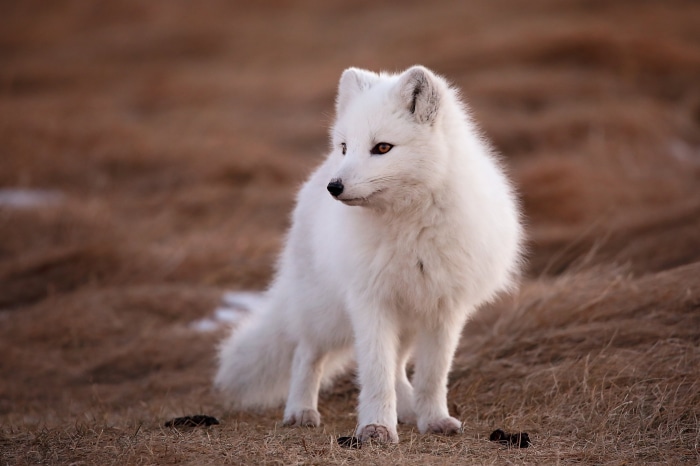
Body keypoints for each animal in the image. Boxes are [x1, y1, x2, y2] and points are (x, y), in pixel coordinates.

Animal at [214, 65, 523, 443]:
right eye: (346, 146)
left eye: (382, 148)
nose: (334, 187)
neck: (410, 226)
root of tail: (319, 172)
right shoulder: (370, 301)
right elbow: (376, 373)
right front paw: (376, 428)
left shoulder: (445, 309)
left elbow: (432, 375)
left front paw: (434, 419)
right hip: (327, 313)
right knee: (306, 353)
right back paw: (301, 411)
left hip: (405, 319)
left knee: (399, 367)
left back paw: (409, 410)